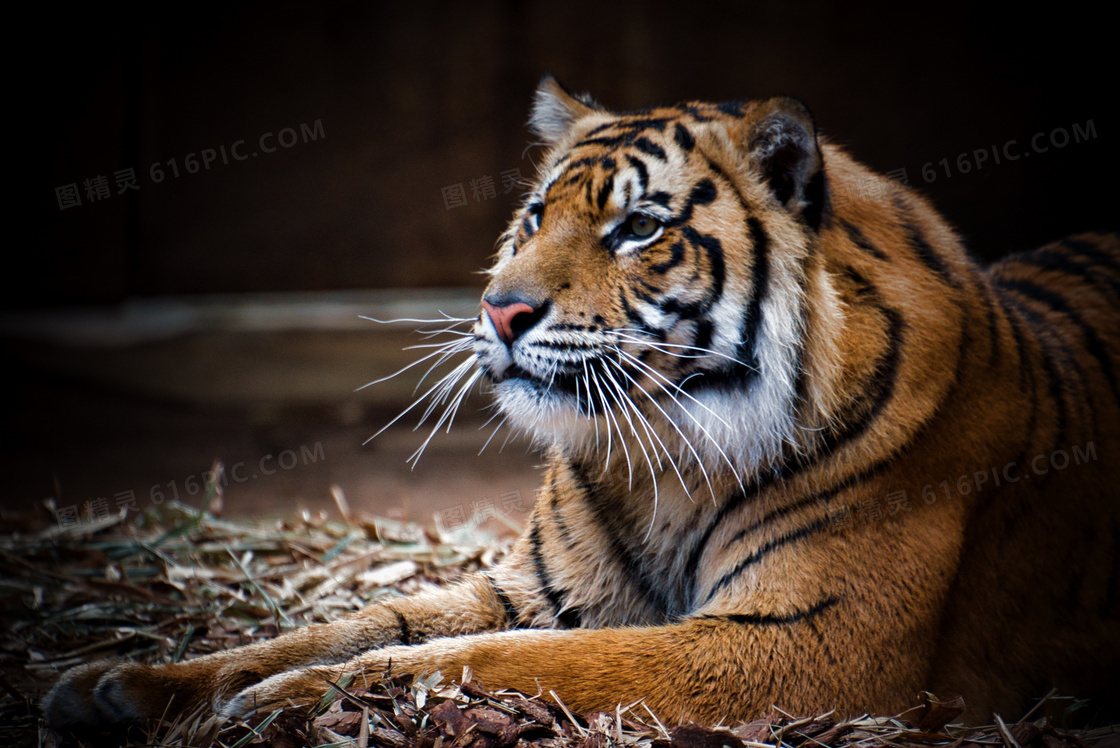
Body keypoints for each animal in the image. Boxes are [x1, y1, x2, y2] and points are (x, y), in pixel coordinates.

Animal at [41, 76, 1120, 730]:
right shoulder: (537, 587)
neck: (669, 458)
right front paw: (124, 684)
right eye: (532, 215)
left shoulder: (802, 639)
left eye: (637, 227)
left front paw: (274, 702)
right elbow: (366, 622)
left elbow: (506, 660)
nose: (500, 307)